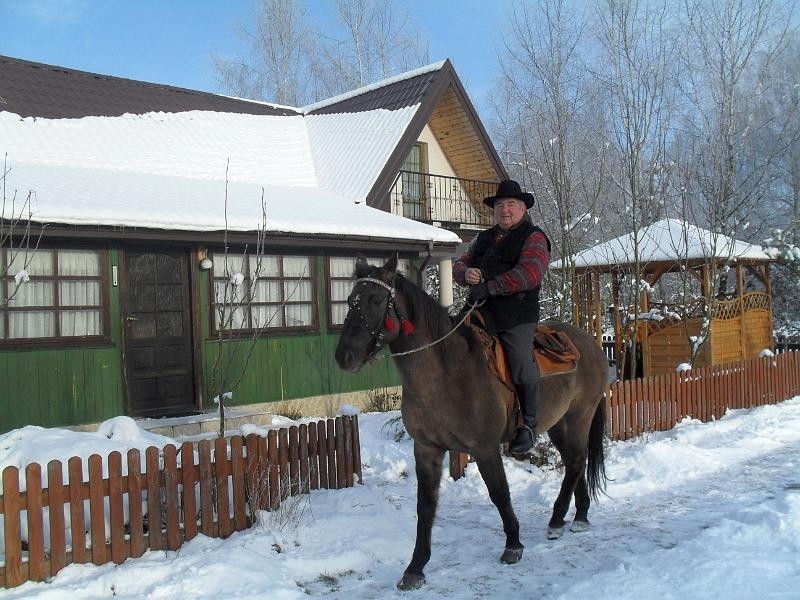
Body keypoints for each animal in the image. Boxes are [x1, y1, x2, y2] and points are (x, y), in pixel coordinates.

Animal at [332, 256, 608, 592]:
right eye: (350, 300)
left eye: (375, 300)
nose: (344, 356)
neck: (446, 372)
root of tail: (590, 343)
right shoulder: (427, 448)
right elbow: (425, 506)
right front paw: (415, 568)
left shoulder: (485, 448)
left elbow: (499, 493)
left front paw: (513, 545)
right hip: (559, 423)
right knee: (573, 463)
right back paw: (578, 515)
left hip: (580, 416)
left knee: (576, 461)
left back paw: (558, 521)